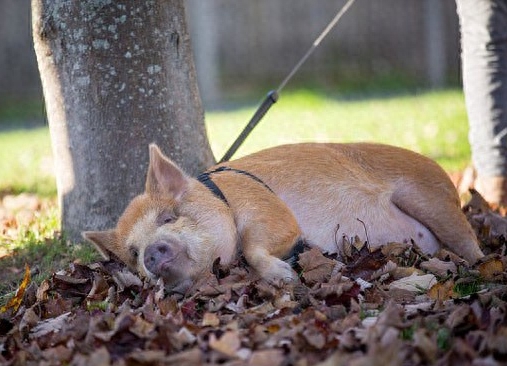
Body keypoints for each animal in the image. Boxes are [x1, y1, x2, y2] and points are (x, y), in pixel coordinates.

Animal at [82, 142, 484, 288]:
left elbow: (256, 243)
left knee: (471, 243)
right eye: (133, 253)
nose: (151, 253)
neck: (221, 198)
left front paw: (285, 278)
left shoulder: (270, 209)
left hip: (432, 198)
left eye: (168, 217)